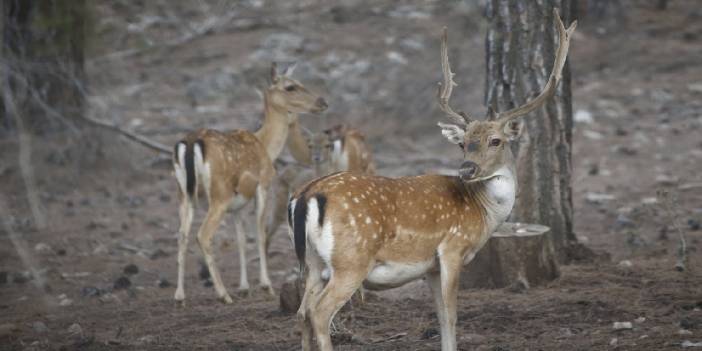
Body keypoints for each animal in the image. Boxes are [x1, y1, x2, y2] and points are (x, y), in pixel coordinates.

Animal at [176, 63, 330, 306]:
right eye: (290, 86)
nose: (322, 102)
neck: (266, 146)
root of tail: (190, 145)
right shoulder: (263, 185)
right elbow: (260, 232)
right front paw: (266, 286)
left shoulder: (238, 205)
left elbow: (241, 239)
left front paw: (245, 287)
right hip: (219, 195)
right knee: (203, 234)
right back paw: (223, 294)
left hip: (184, 194)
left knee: (181, 235)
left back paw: (180, 296)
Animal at [288, 11, 576, 351]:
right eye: (463, 143)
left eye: (495, 141)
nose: (467, 168)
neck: (483, 213)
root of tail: (306, 195)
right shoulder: (452, 248)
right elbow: (451, 316)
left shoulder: (430, 267)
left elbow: (439, 316)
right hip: (351, 259)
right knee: (319, 312)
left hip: (312, 261)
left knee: (302, 311)